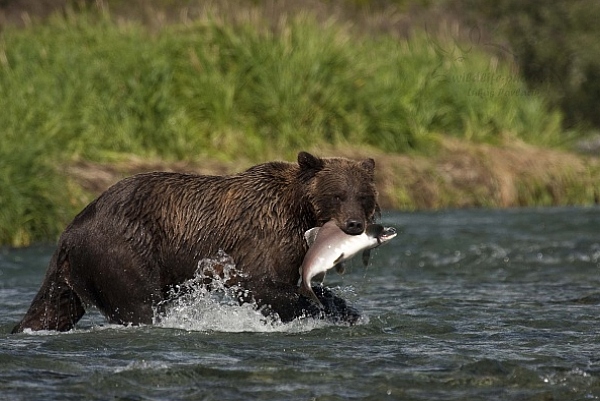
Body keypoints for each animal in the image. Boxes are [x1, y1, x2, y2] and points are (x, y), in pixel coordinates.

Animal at [11, 151, 378, 332]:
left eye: (362, 195)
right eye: (337, 194)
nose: (354, 224)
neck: (298, 210)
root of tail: (70, 229)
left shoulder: (292, 248)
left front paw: (345, 311)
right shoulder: (258, 236)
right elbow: (261, 284)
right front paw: (314, 312)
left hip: (74, 272)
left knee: (54, 308)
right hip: (123, 248)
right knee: (140, 302)